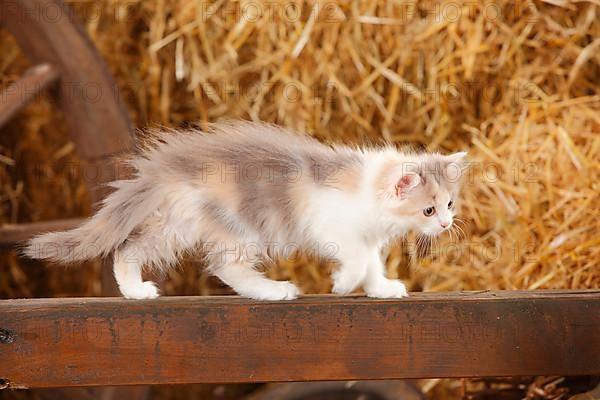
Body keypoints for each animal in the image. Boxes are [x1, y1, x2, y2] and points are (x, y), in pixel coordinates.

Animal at [23, 122, 466, 300]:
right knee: (226, 267)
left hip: (175, 225)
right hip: (238, 228)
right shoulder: (333, 228)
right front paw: (342, 284)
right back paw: (273, 290)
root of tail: (167, 167)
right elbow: (356, 260)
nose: (447, 224)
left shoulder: (366, 238)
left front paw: (382, 289)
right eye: (428, 210)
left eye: (449, 204)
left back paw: (135, 291)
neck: (368, 192)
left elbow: (372, 264)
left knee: (128, 249)